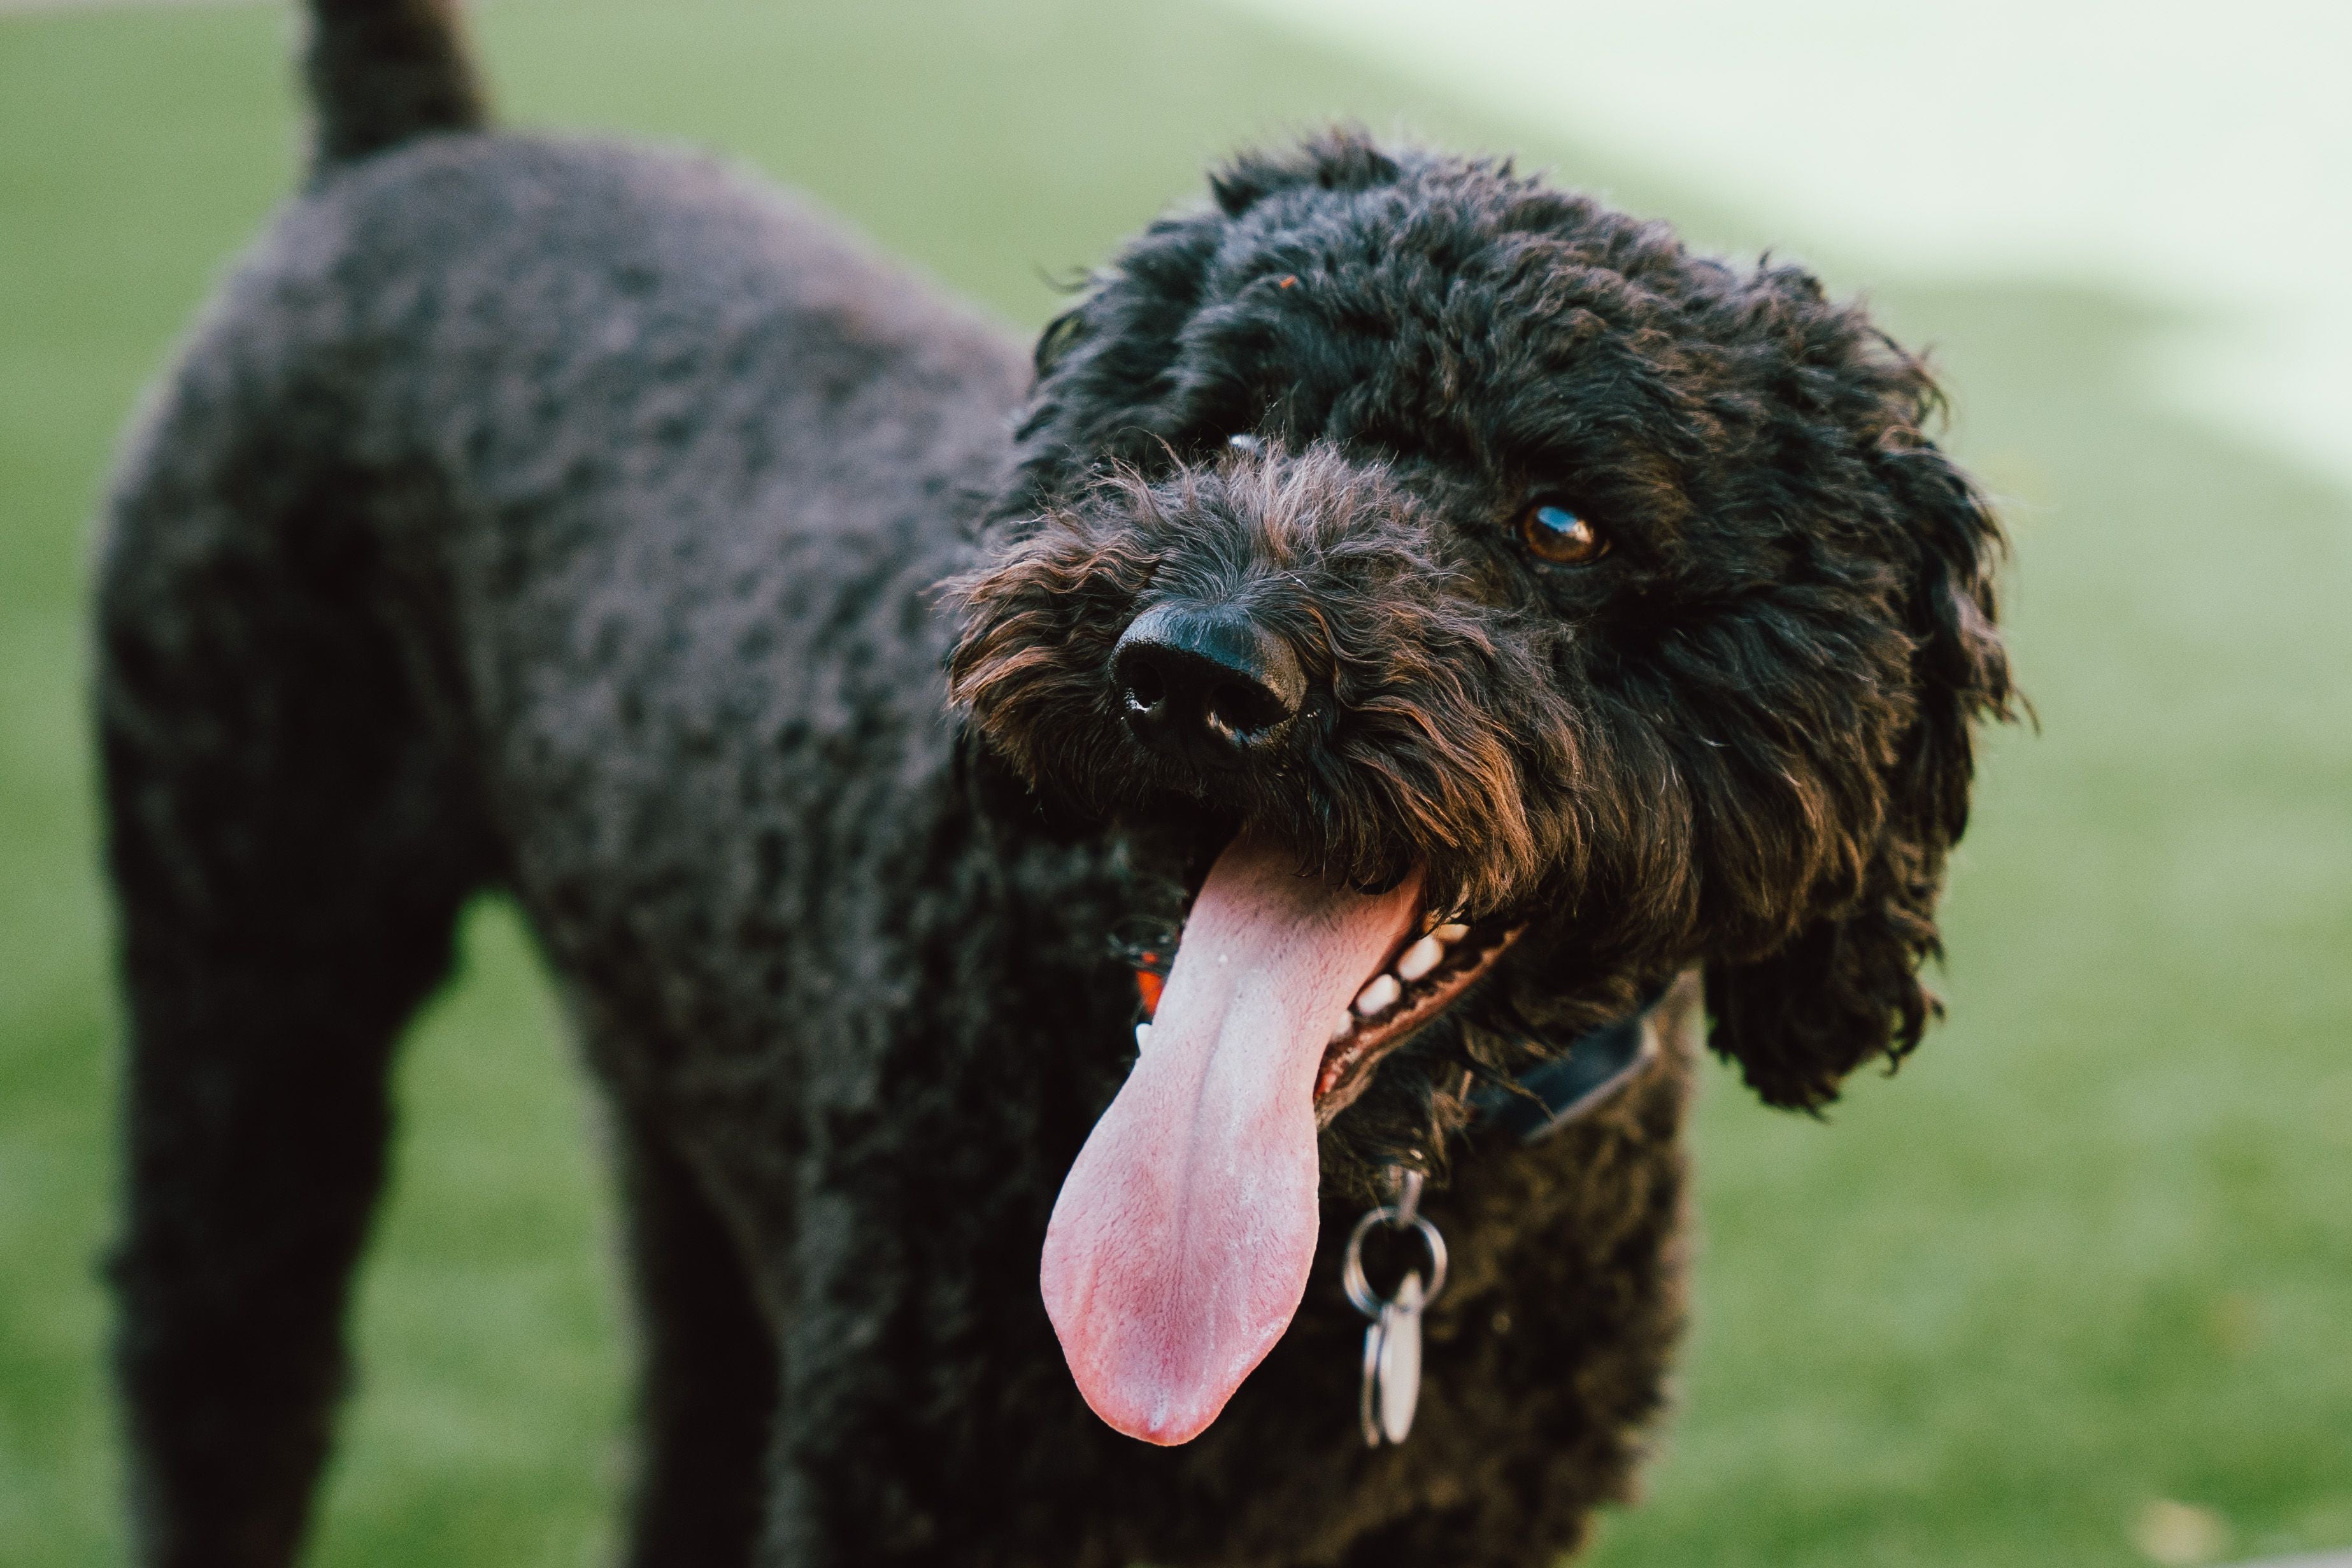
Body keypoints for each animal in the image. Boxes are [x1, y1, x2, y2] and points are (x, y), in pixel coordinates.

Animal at [101, 3, 2013, 1568]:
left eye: (1558, 524)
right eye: (1224, 428)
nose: (1196, 668)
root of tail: (414, 148)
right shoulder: (916, 1488)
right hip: (246, 983)